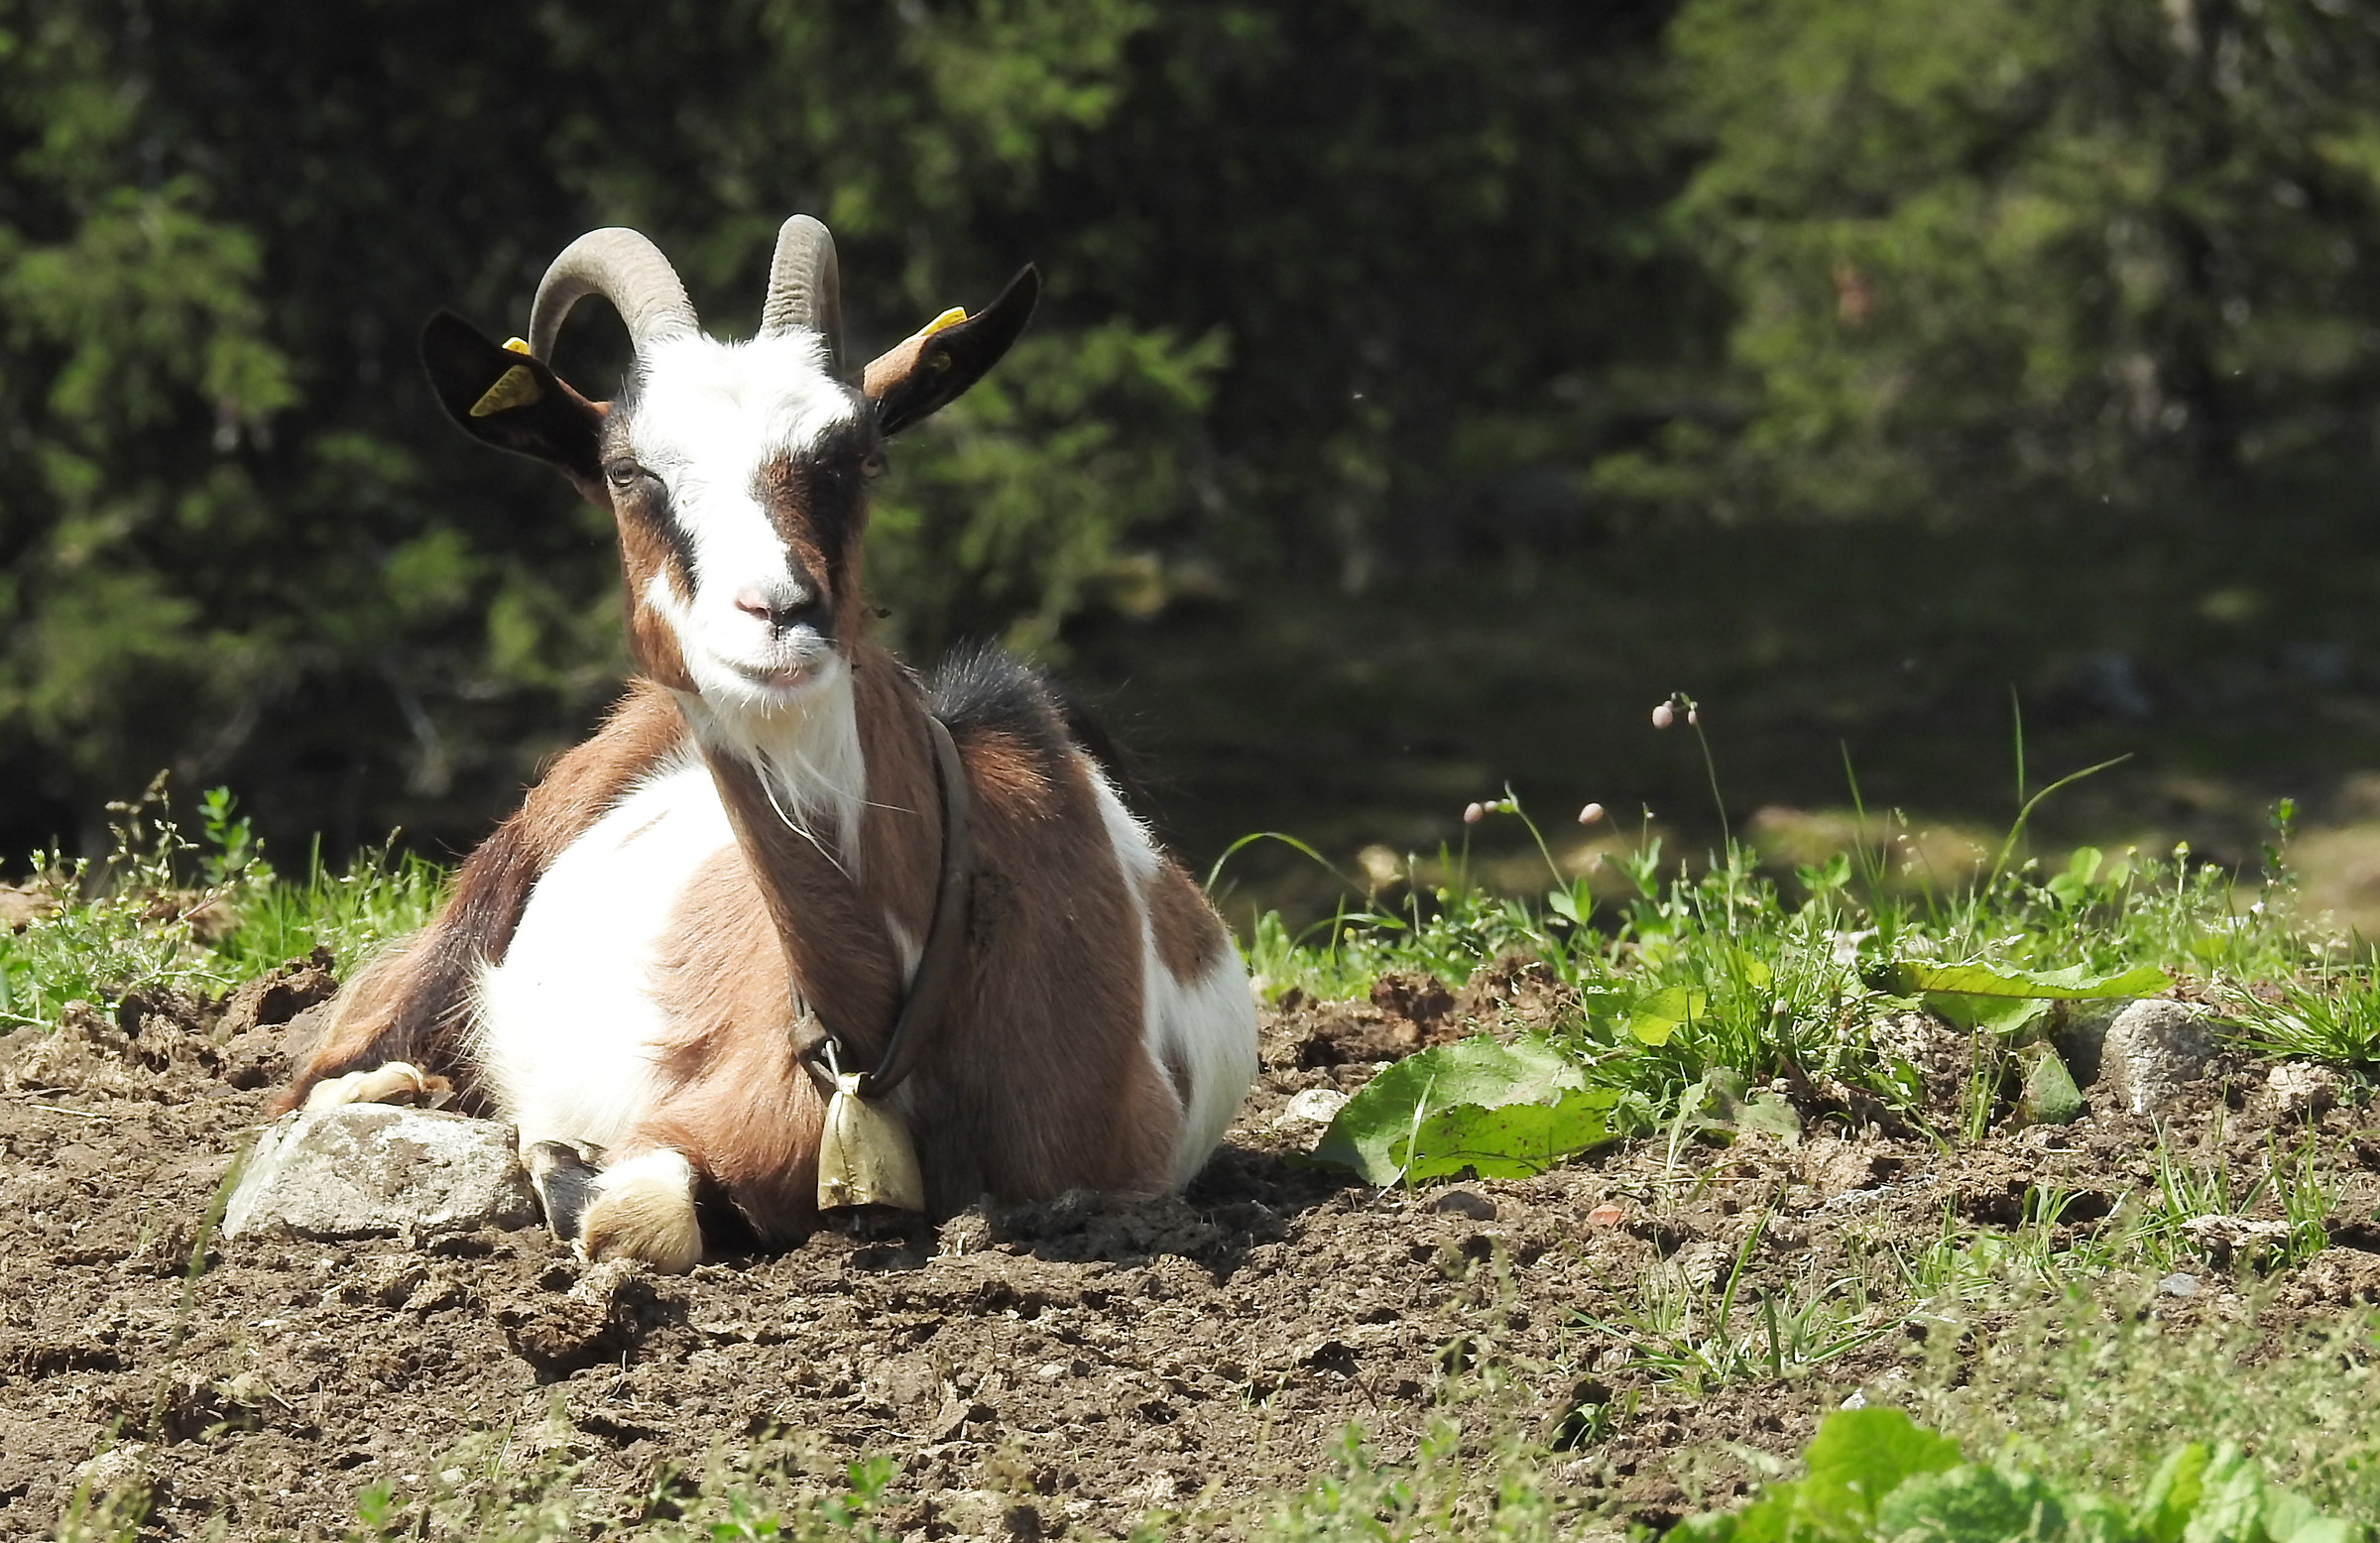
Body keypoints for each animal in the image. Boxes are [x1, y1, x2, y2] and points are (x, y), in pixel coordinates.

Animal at [277, 218, 1260, 1270]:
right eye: (628, 471)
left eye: (858, 453)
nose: (781, 614)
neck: (885, 1035)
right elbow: (635, 1210)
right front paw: (546, 1151)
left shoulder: (1120, 1165)